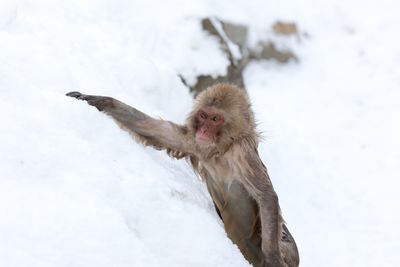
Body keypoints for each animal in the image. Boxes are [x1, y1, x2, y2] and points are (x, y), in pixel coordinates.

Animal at [66, 84, 296, 267]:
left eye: (215, 119)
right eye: (203, 116)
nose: (204, 130)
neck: (221, 151)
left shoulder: (242, 154)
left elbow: (266, 195)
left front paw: (272, 260)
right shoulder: (194, 142)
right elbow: (154, 129)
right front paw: (96, 99)